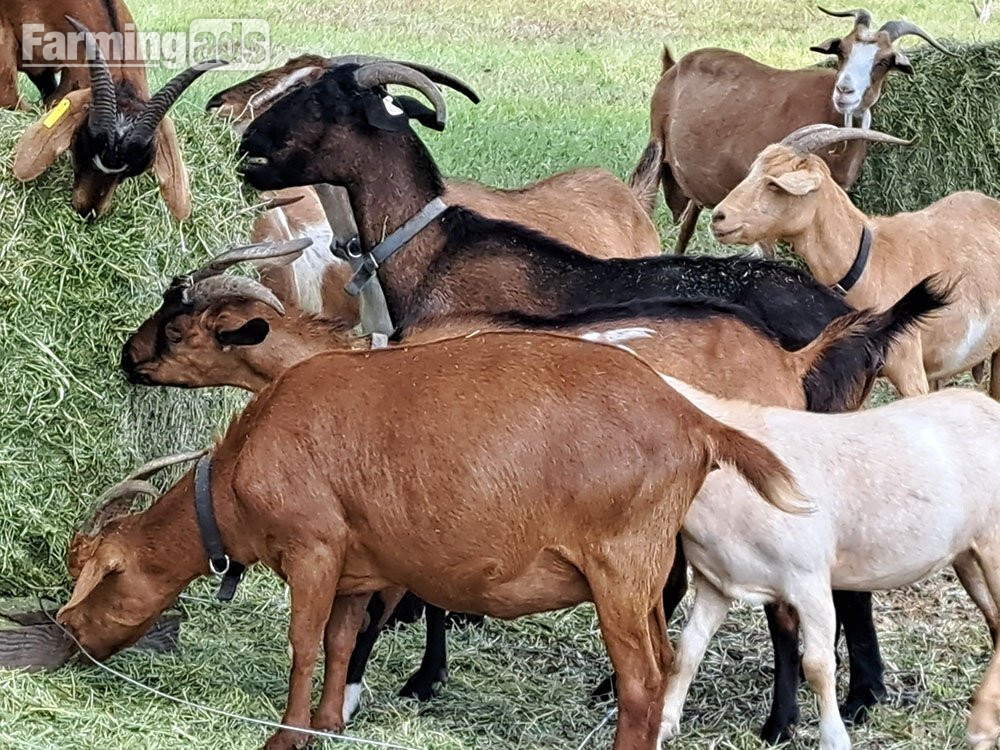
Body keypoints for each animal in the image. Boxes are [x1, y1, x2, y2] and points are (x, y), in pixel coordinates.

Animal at [58, 331, 806, 750]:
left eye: (98, 578)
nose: (73, 641)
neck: (244, 466)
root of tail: (695, 421)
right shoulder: (356, 568)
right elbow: (340, 642)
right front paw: (328, 723)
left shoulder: (313, 549)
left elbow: (303, 644)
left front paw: (285, 734)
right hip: (647, 572)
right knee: (661, 659)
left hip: (619, 567)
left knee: (643, 679)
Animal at [118, 240, 946, 738]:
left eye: (181, 327)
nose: (126, 356)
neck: (374, 360)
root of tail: (792, 356)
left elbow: (404, 603)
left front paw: (383, 687)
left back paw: (780, 722)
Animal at [656, 376, 1000, 750]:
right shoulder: (718, 580)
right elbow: (688, 649)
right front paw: (665, 724)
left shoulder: (809, 579)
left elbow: (818, 666)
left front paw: (834, 738)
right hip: (968, 553)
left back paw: (982, 725)